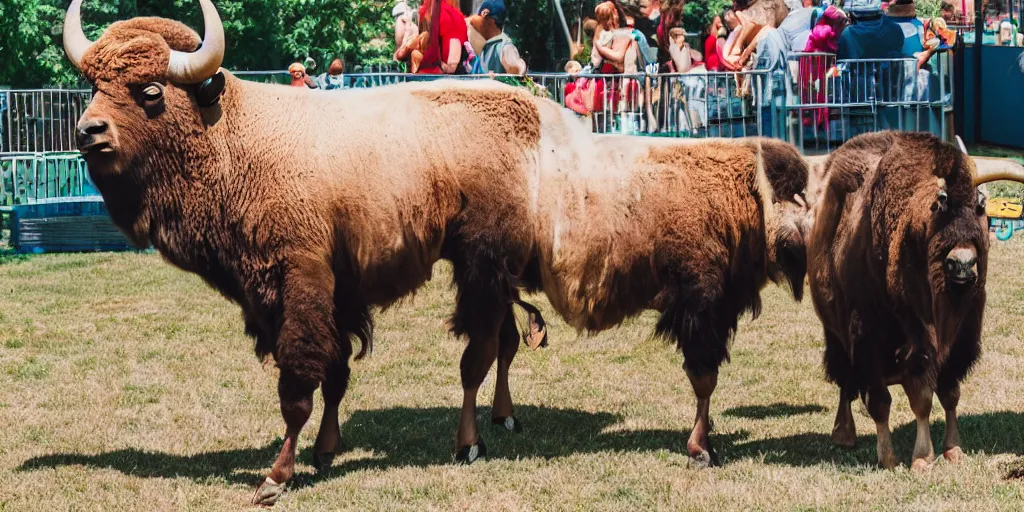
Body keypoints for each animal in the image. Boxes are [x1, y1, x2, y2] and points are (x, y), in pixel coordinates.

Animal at [61, 0, 815, 503]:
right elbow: (337, 375)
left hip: (488, 270)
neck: (236, 133)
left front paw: (277, 476)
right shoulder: (339, 290)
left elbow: (300, 384)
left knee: (485, 354)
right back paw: (502, 422)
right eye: (92, 83)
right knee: (503, 347)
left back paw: (475, 441)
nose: (88, 131)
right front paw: (328, 452)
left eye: (149, 91)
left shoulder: (301, 287)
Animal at [806, 130, 1024, 468]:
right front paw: (903, 458)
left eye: (980, 206)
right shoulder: (874, 341)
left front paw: (952, 449)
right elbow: (888, 400)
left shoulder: (954, 343)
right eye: (940, 204)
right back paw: (843, 433)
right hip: (836, 333)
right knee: (846, 381)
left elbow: (947, 394)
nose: (962, 264)